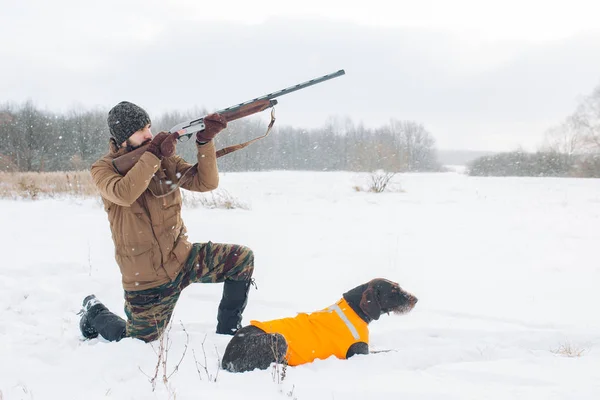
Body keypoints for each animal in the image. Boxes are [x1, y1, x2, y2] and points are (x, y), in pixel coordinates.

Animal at [220, 278, 418, 372]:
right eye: (393, 291)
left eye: (398, 286)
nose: (416, 299)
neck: (354, 310)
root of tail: (226, 359)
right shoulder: (359, 353)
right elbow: (386, 351)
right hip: (279, 338)